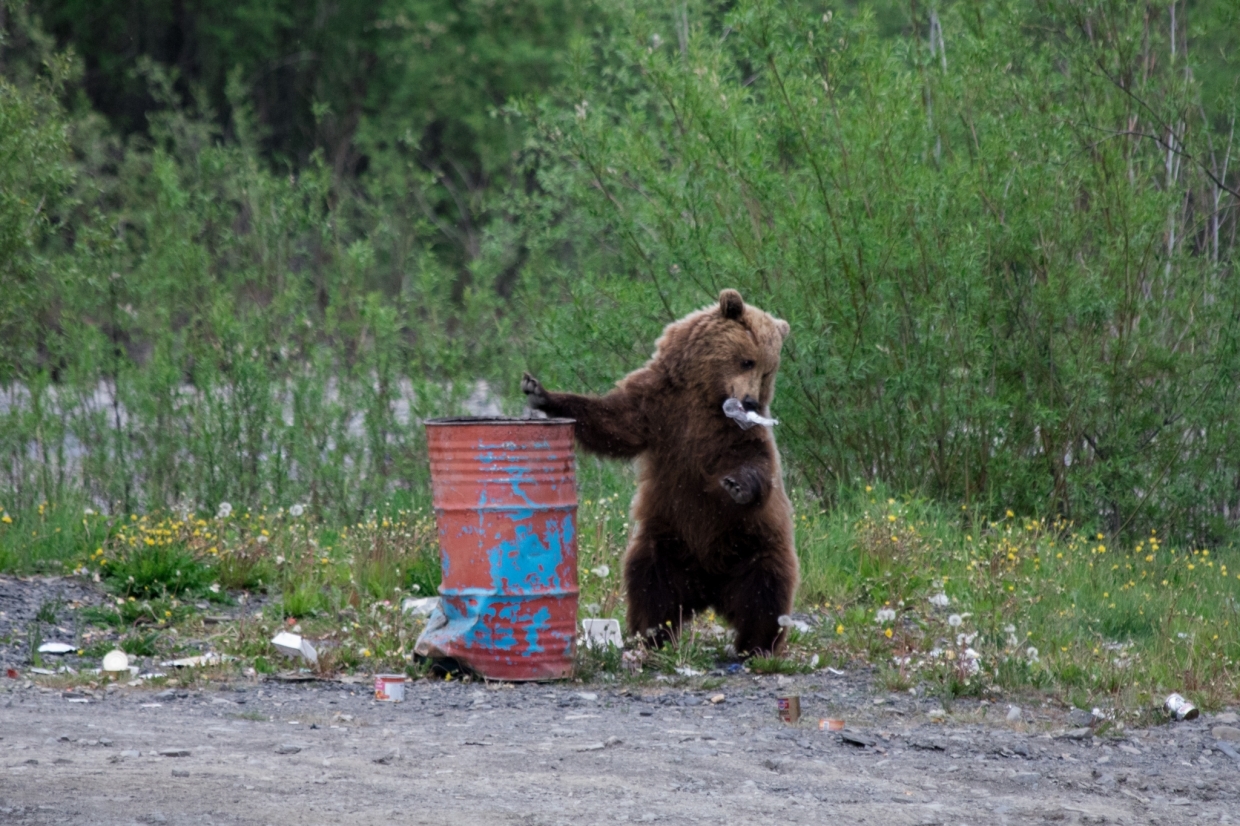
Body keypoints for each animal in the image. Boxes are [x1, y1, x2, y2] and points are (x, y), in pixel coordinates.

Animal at [520, 286, 793, 654]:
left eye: (767, 371)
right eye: (747, 360)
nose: (749, 401)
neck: (706, 394)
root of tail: (711, 591)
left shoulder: (735, 433)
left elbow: (757, 461)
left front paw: (738, 485)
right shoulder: (660, 403)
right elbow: (614, 422)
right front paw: (540, 393)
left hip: (754, 542)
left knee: (764, 590)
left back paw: (755, 645)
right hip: (668, 540)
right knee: (651, 584)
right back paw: (653, 636)